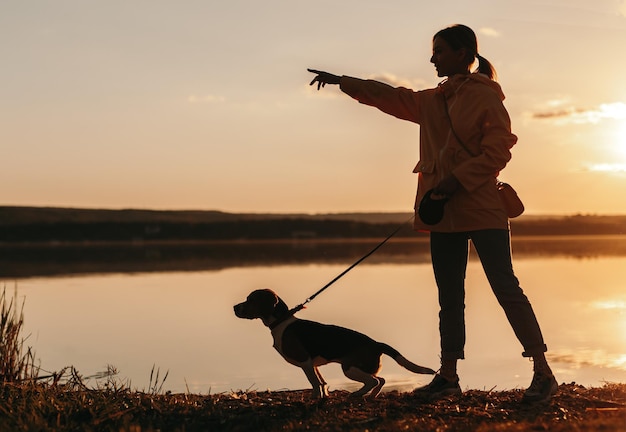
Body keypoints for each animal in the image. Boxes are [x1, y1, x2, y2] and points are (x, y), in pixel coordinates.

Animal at [232, 288, 432, 400]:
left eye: (250, 299)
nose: (234, 307)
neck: (281, 321)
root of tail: (376, 343)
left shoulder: (305, 362)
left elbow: (314, 383)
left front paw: (314, 398)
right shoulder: (313, 364)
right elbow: (322, 382)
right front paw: (323, 396)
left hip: (349, 367)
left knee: (373, 380)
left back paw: (357, 394)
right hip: (363, 367)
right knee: (380, 380)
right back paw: (372, 396)